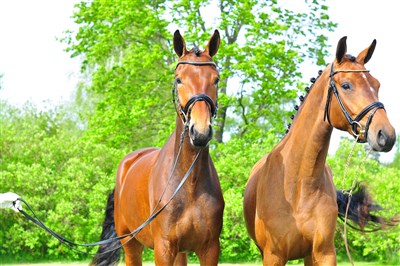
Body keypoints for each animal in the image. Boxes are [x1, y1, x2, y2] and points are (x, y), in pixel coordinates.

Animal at [91, 29, 225, 266]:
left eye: (216, 80)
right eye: (179, 79)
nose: (200, 132)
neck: (188, 184)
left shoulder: (209, 249)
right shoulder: (163, 248)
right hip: (131, 245)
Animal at [242, 36, 396, 264]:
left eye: (376, 84)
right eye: (346, 85)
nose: (386, 135)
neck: (298, 185)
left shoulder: (324, 253)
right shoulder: (273, 256)